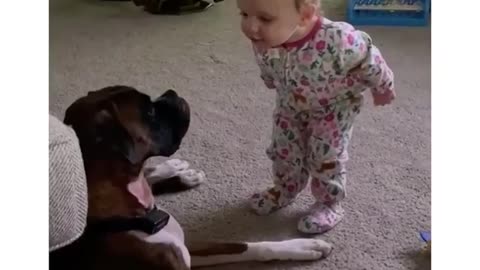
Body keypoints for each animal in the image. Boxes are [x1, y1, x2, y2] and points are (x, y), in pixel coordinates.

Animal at [49, 86, 334, 270]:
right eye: (149, 113)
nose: (171, 93)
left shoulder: (187, 247)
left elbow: (240, 244)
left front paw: (302, 247)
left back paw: (179, 171)